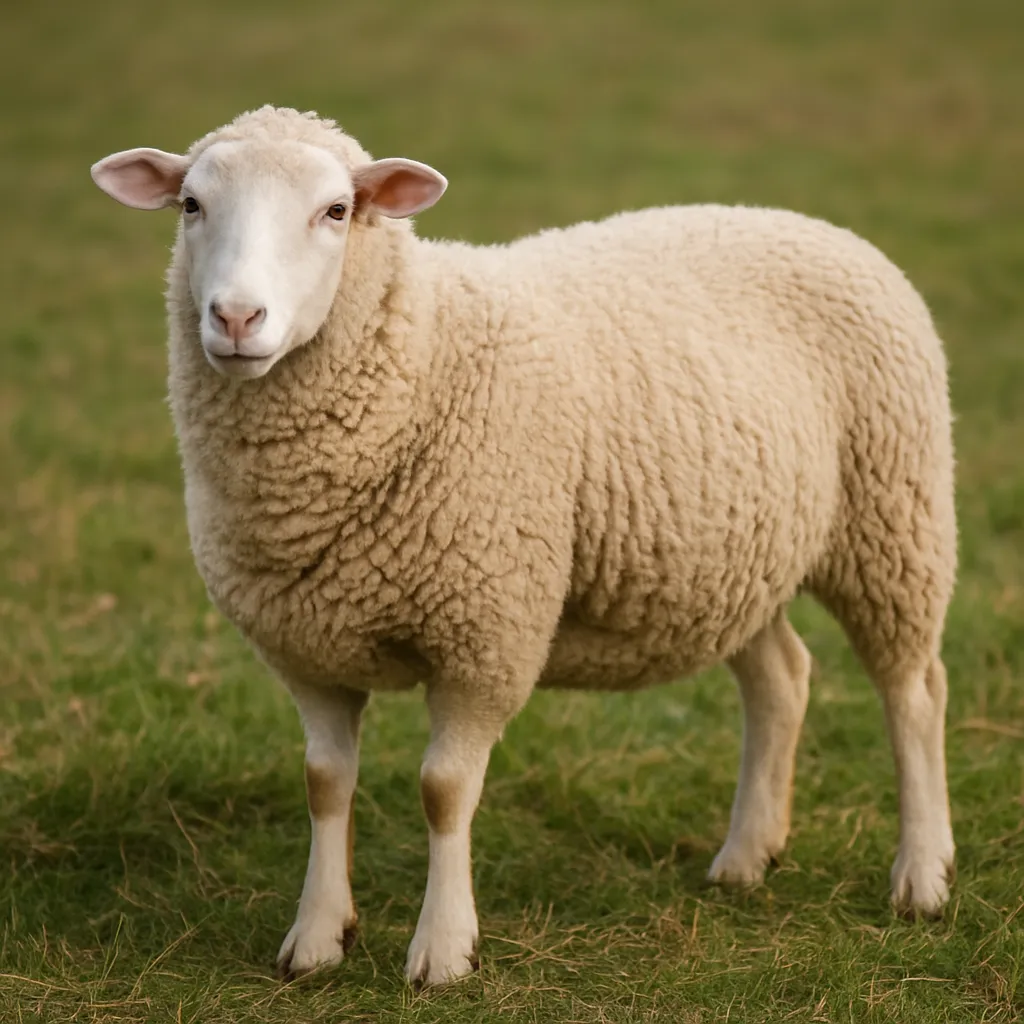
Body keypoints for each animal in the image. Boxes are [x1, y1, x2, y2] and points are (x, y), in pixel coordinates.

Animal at [90, 105, 958, 988]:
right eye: (191, 205)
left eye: (336, 211)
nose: (236, 319)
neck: (421, 354)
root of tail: (808, 223)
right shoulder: (307, 648)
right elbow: (325, 784)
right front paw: (318, 937)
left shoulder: (486, 633)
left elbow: (443, 790)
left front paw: (443, 951)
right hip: (732, 558)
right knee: (780, 678)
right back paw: (747, 857)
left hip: (894, 515)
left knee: (914, 690)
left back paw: (921, 877)